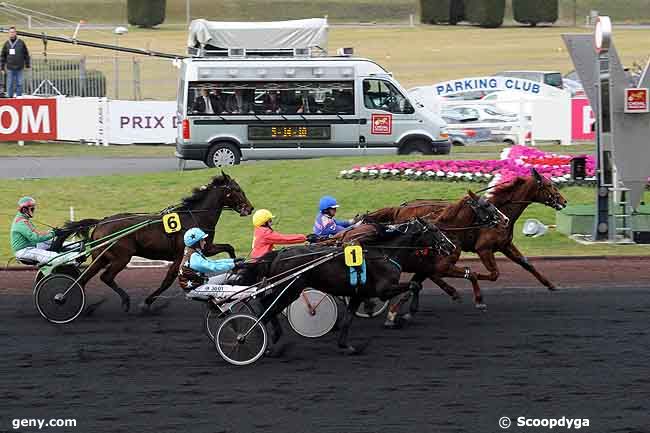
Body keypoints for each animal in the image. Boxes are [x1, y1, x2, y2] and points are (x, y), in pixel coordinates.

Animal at [56, 174, 253, 312]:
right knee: (106, 277)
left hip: (102, 257)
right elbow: (167, 281)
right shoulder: (181, 255)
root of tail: (100, 222)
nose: (249, 208)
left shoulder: (206, 248)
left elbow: (229, 247)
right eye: (237, 189)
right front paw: (147, 302)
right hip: (122, 257)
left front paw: (237, 271)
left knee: (84, 279)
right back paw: (124, 301)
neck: (195, 217)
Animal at [235, 219, 454, 354]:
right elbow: (415, 285)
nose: (451, 247)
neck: (384, 253)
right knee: (267, 307)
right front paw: (404, 315)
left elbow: (348, 318)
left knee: (266, 303)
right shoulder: (383, 290)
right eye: (435, 230)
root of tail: (279, 254)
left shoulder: (358, 293)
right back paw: (259, 338)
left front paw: (346, 345)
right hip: (290, 289)